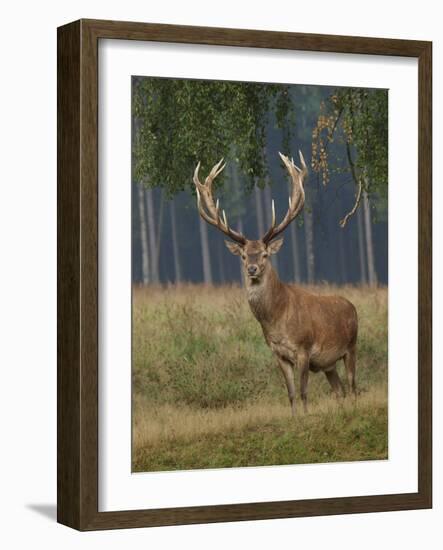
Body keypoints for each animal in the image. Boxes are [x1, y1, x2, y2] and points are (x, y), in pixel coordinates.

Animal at [193, 153, 360, 416]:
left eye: (264, 254)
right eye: (243, 256)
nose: (252, 269)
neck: (277, 319)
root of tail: (352, 307)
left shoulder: (303, 349)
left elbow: (303, 392)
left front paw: (306, 416)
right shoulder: (278, 354)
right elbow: (290, 394)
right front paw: (294, 418)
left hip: (351, 346)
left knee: (353, 387)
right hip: (329, 364)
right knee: (339, 390)